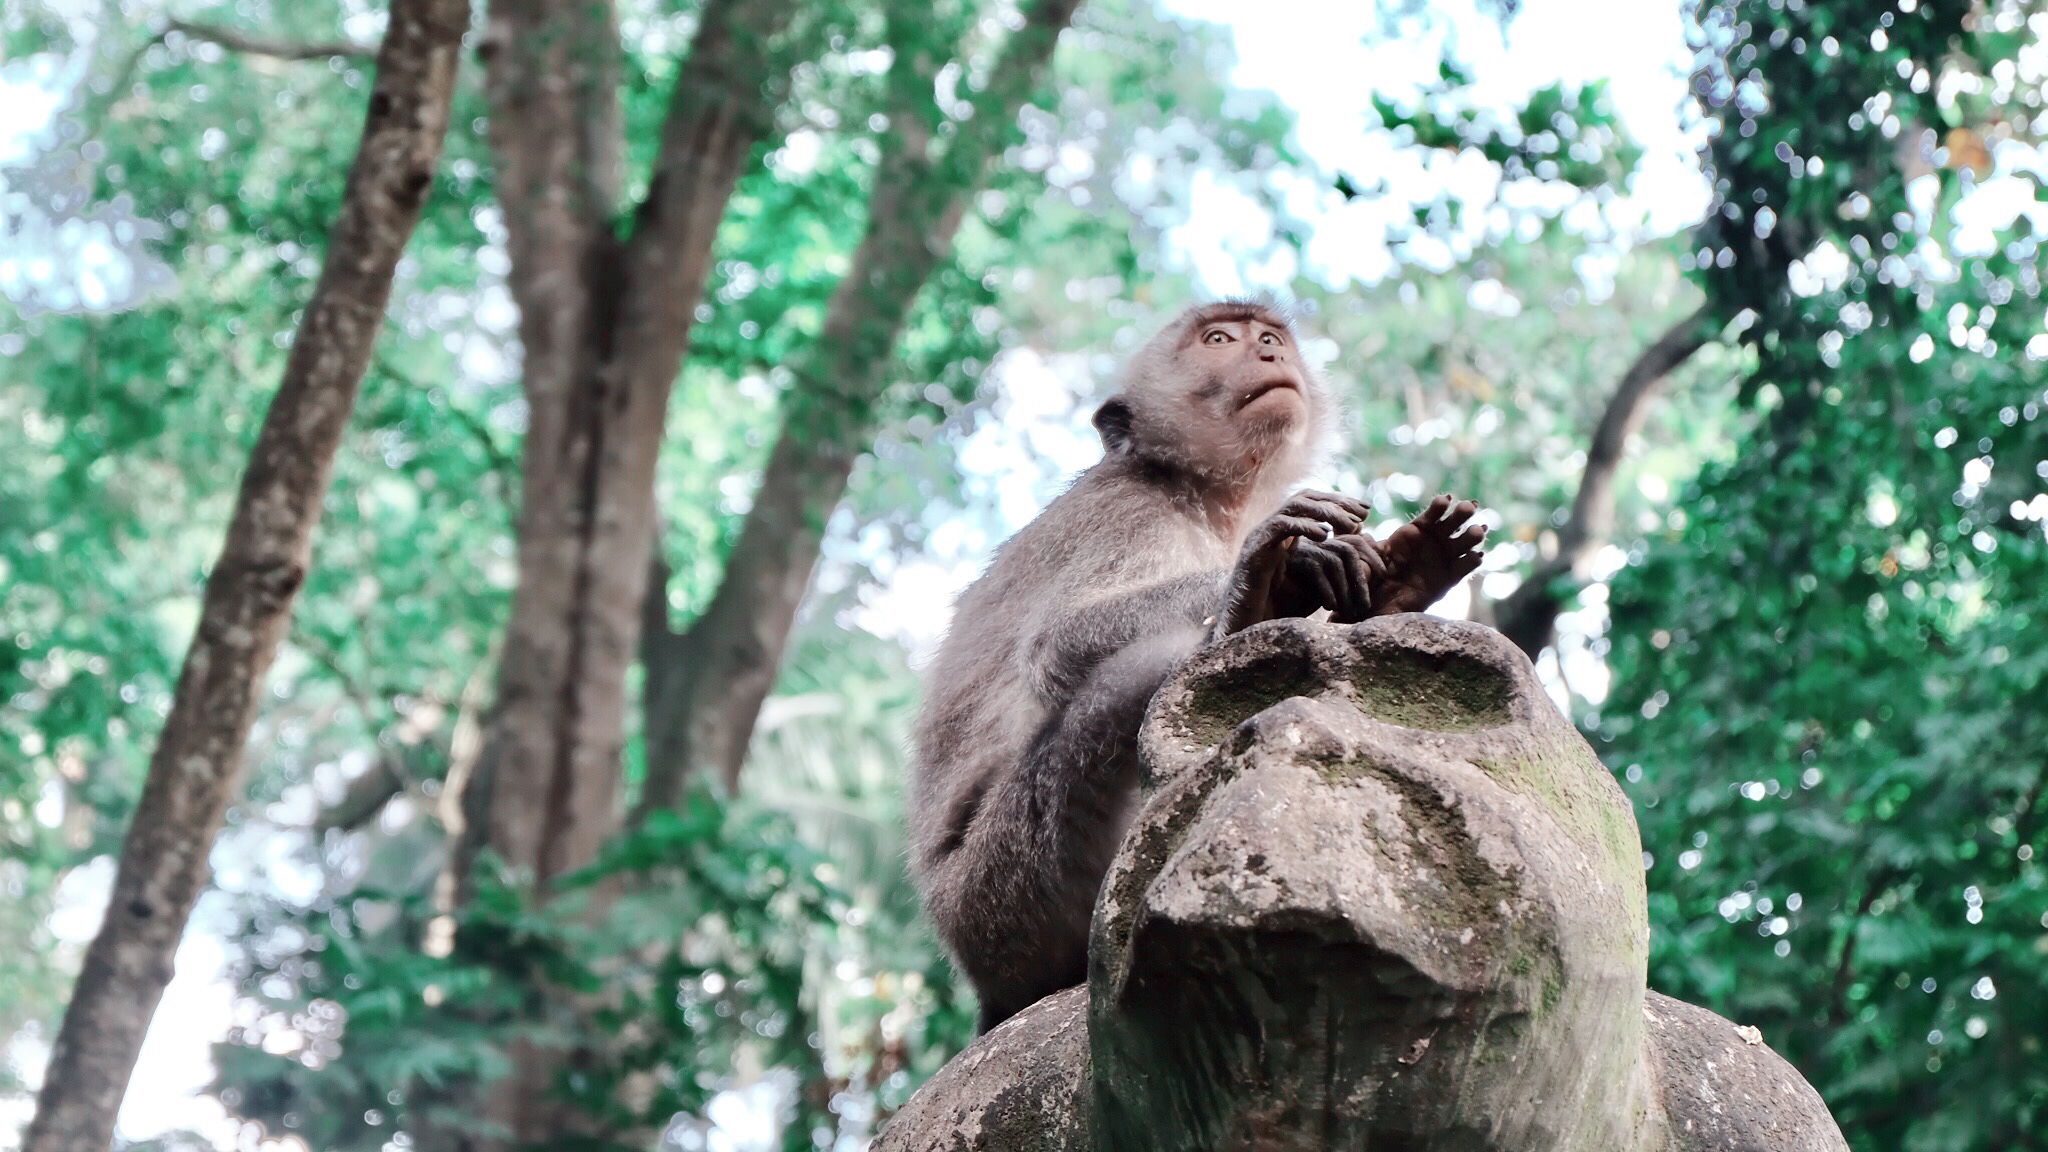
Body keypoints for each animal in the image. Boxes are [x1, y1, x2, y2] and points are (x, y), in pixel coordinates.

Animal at [908, 300, 1488, 1033]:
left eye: (1267, 337)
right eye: (1218, 340)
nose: (1269, 353)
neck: (1200, 494)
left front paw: (1393, 580)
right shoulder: (1125, 512)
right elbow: (1057, 645)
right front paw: (1269, 574)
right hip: (996, 899)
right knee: (1132, 677)